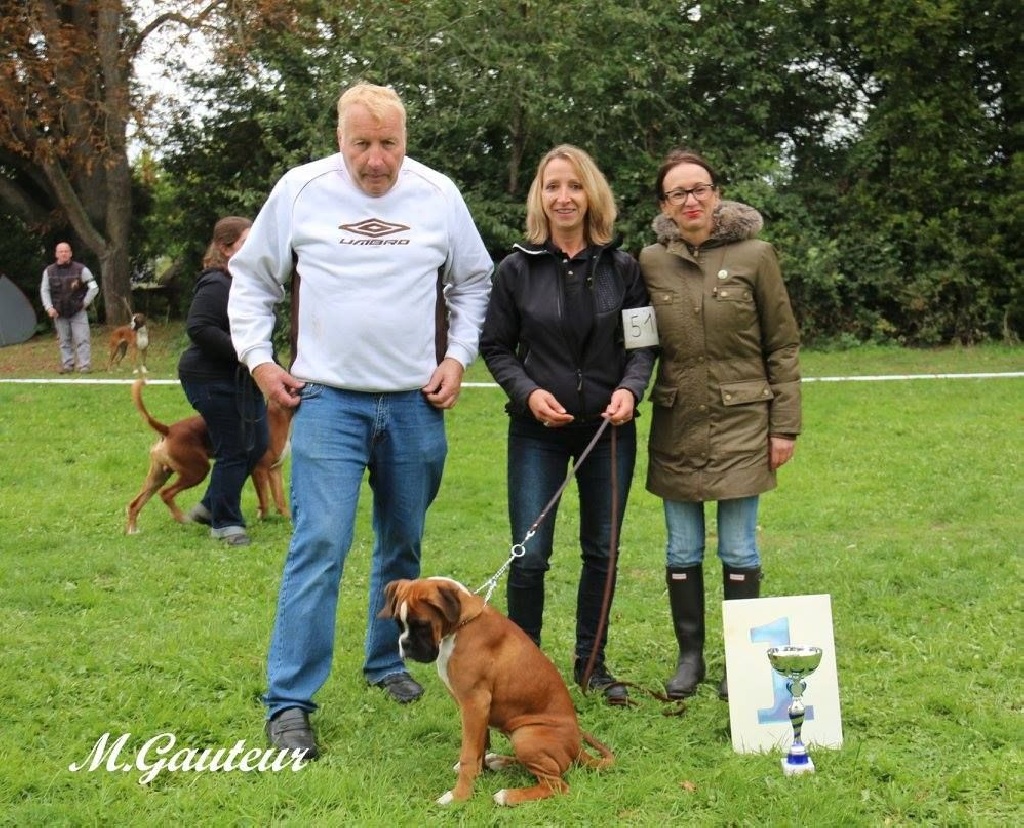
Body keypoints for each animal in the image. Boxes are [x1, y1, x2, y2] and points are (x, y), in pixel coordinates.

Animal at [125, 378, 292, 532]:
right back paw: (182, 518)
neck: (280, 414)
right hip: (197, 471)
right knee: (166, 493)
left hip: (159, 476)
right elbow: (264, 499)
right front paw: (263, 519)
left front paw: (288, 518)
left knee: (135, 503)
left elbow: (280, 499)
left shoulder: (275, 470)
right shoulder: (259, 470)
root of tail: (169, 430)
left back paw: (133, 531)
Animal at [380, 577, 610, 802]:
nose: (404, 644)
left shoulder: (475, 704)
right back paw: (498, 761)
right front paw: (479, 773)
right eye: (398, 623)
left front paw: (458, 796)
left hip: (525, 736)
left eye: (422, 624)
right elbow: (479, 746)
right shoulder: (478, 711)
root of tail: (577, 748)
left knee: (556, 784)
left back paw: (507, 796)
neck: (462, 624)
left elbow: (468, 755)